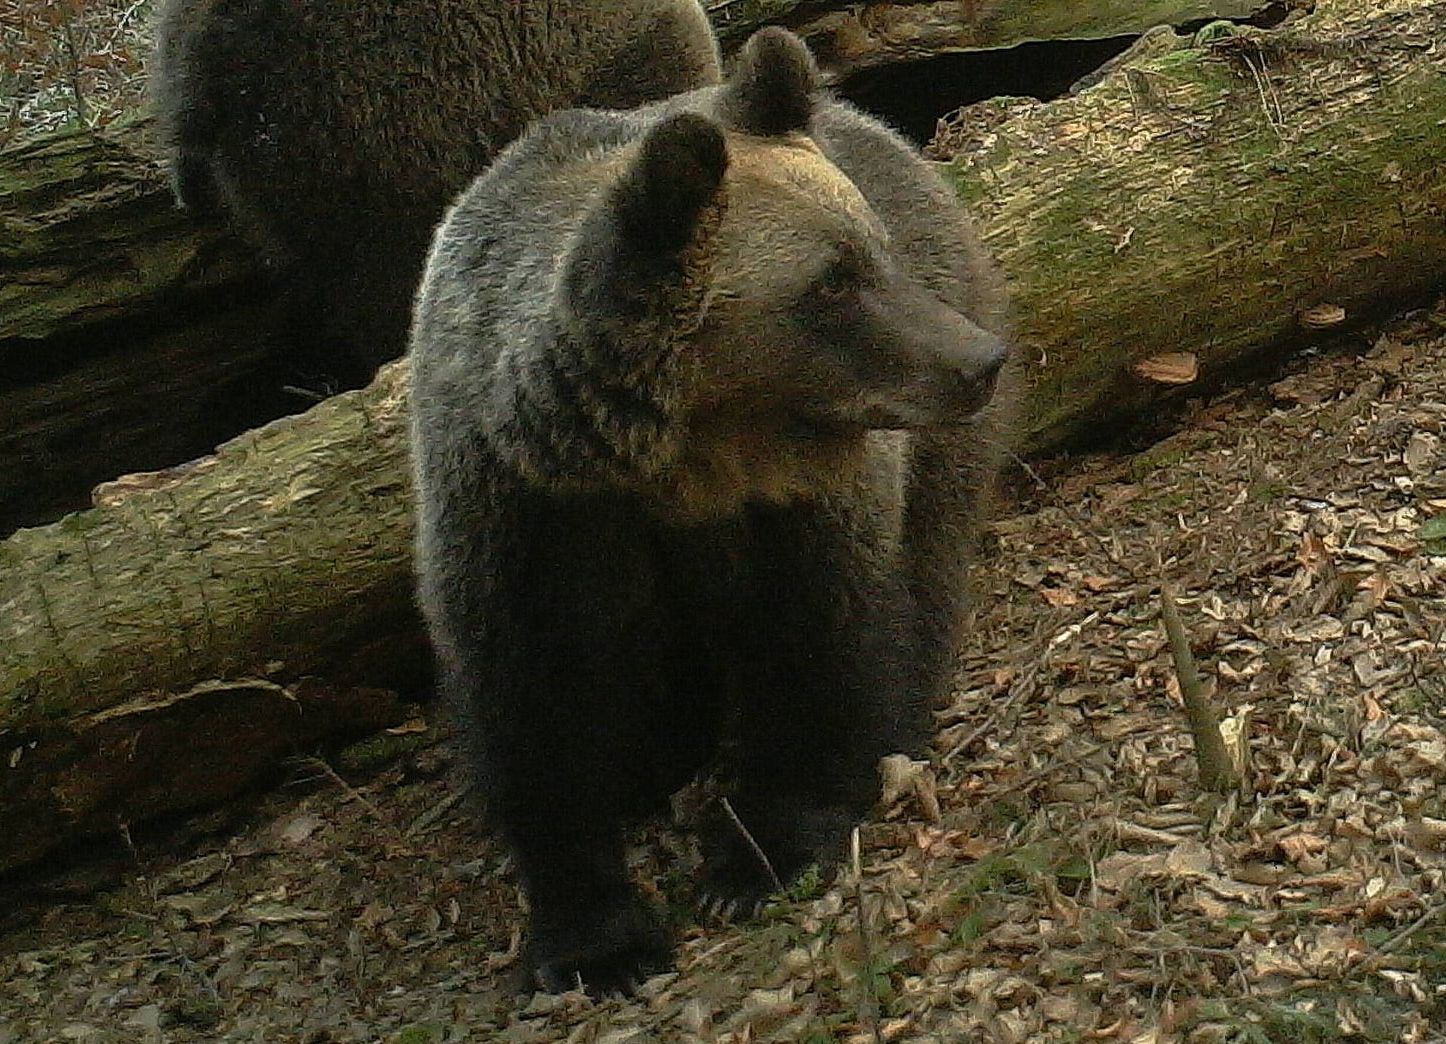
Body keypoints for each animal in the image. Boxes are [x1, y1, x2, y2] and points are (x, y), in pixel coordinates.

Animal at [407, 26, 1017, 994]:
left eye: (871, 252)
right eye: (831, 282)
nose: (976, 361)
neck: (684, 460)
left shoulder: (805, 500)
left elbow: (823, 638)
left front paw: (755, 857)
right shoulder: (528, 510)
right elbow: (538, 705)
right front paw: (597, 939)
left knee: (922, 569)